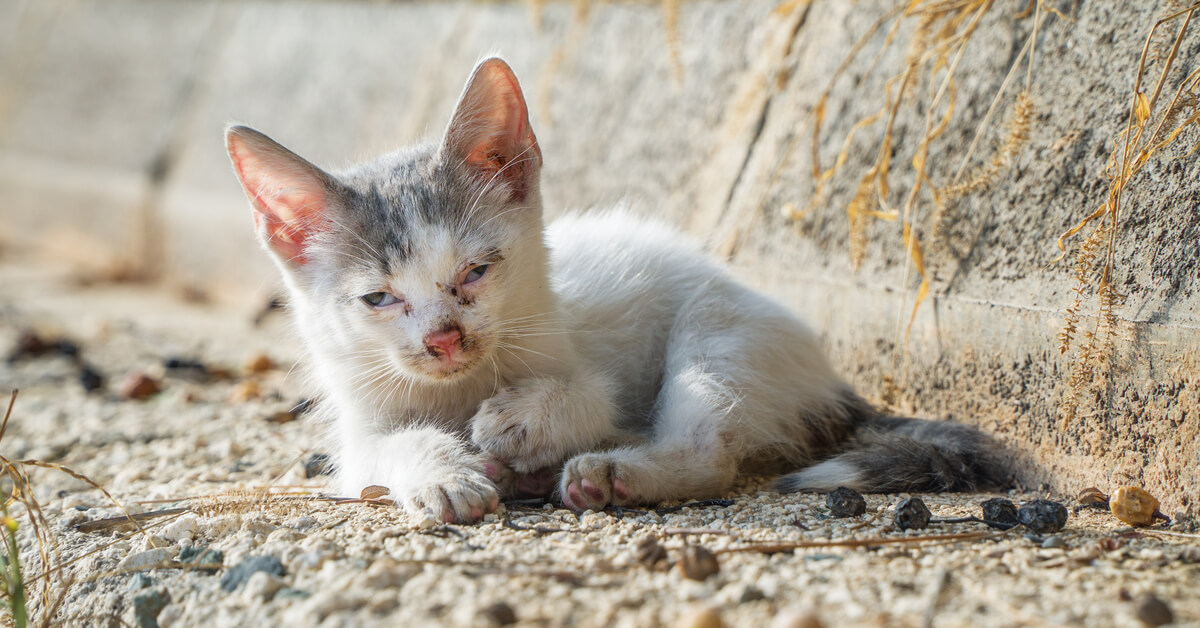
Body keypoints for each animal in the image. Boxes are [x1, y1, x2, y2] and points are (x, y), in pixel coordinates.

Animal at [223, 57, 1003, 521]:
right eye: (379, 300)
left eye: (477, 271)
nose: (444, 338)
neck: (460, 388)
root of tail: (826, 376)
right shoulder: (359, 434)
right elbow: (387, 448)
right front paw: (443, 473)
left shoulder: (586, 356)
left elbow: (588, 392)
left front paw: (522, 420)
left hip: (718, 330)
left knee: (709, 451)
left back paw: (608, 473)